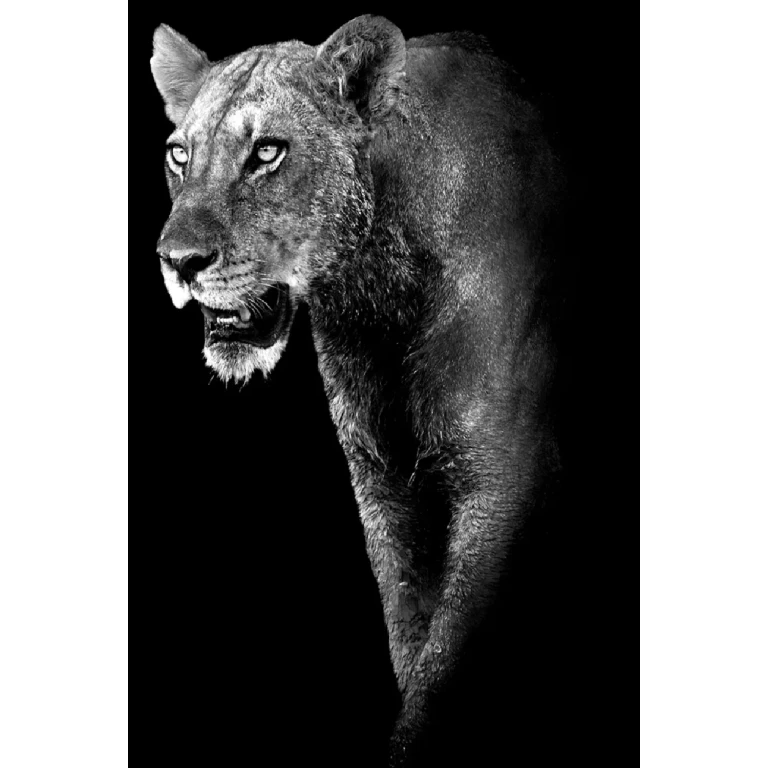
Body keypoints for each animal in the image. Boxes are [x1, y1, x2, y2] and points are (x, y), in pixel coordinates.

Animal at [151, 15, 563, 766]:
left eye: (267, 152)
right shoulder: (382, 484)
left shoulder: (503, 483)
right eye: (179, 155)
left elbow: (443, 666)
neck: (377, 298)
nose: (177, 261)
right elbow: (410, 632)